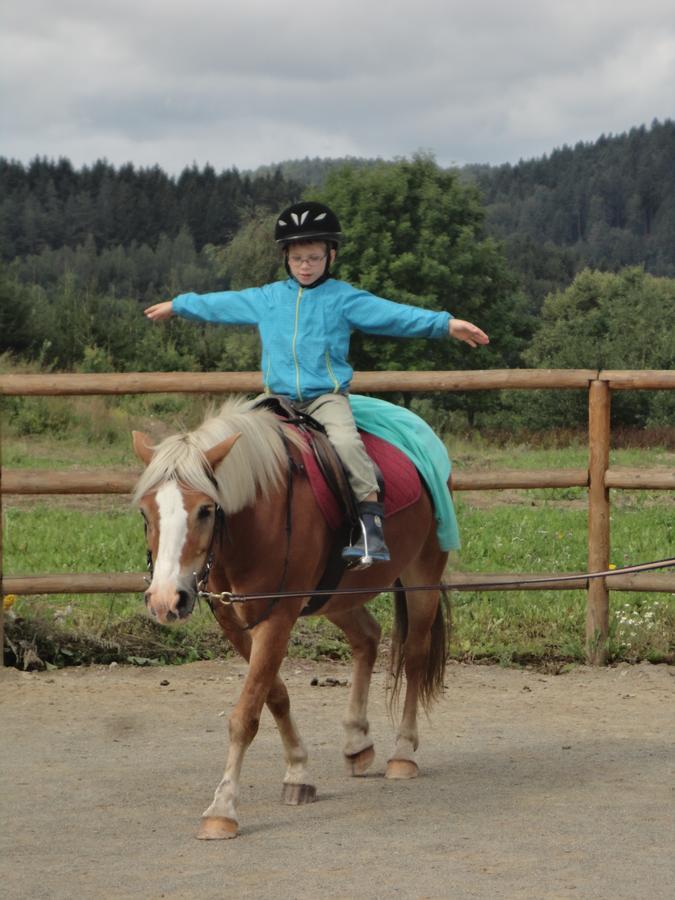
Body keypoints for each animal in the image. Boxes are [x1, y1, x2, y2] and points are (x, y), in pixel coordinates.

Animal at [131, 398, 448, 840]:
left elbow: (245, 715)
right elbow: (274, 694)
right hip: (338, 596)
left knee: (415, 656)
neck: (258, 515)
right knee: (367, 637)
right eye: (146, 513)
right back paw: (356, 742)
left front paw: (222, 809)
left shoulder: (278, 615)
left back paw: (402, 753)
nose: (165, 600)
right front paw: (298, 772)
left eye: (206, 510)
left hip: (423, 575)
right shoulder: (234, 620)